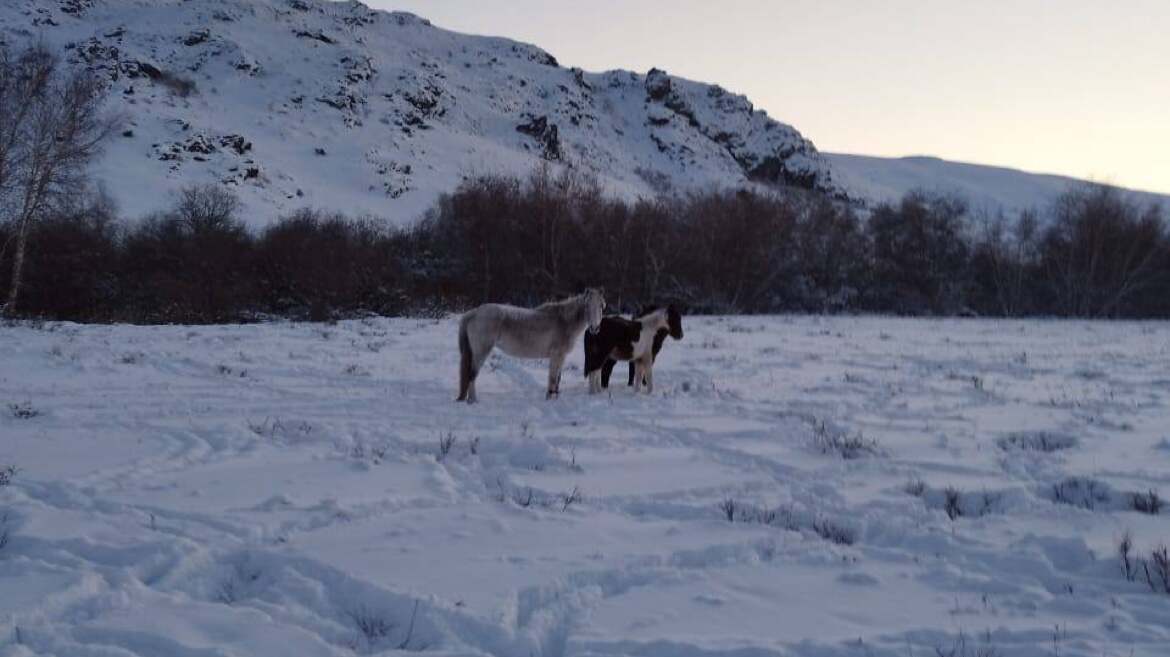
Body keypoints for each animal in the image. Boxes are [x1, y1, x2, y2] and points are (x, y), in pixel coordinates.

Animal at [453, 287, 608, 402]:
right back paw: (473, 400)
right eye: (587, 306)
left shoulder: (560, 357)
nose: (595, 328)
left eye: (601, 306)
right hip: (481, 352)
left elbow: (557, 378)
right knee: (472, 374)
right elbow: (553, 378)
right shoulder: (557, 356)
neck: (564, 321)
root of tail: (475, 312)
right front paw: (550, 398)